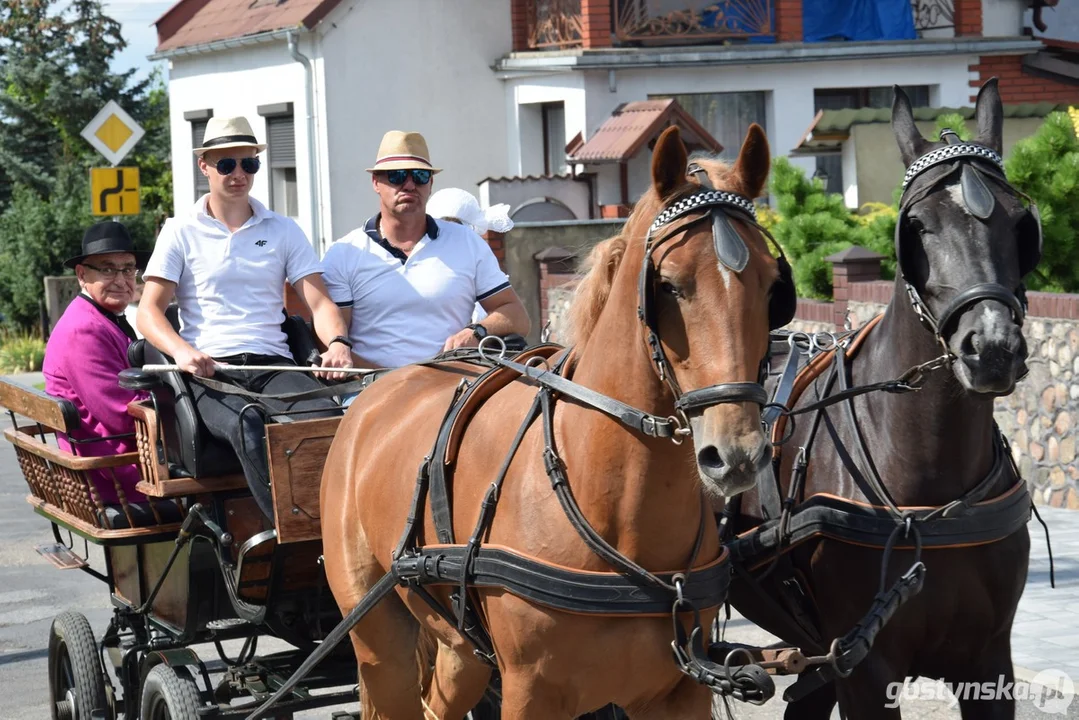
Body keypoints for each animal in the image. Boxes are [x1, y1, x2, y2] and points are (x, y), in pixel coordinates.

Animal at [319, 125, 794, 720]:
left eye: (773, 286)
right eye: (667, 284)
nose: (736, 454)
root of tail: (379, 388)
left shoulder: (677, 694)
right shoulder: (532, 693)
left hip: (461, 653)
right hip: (380, 643)